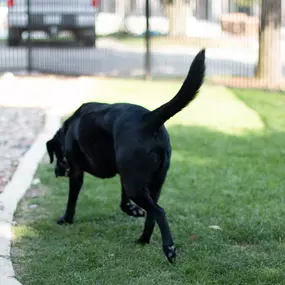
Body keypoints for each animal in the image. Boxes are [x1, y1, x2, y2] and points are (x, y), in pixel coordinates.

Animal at [45, 49, 205, 262]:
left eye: (56, 154)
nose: (56, 172)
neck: (68, 129)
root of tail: (149, 118)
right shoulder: (124, 174)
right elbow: (123, 201)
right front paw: (132, 210)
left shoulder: (78, 173)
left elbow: (72, 199)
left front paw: (66, 219)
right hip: (151, 182)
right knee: (152, 214)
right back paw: (143, 240)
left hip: (135, 186)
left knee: (159, 212)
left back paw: (169, 248)